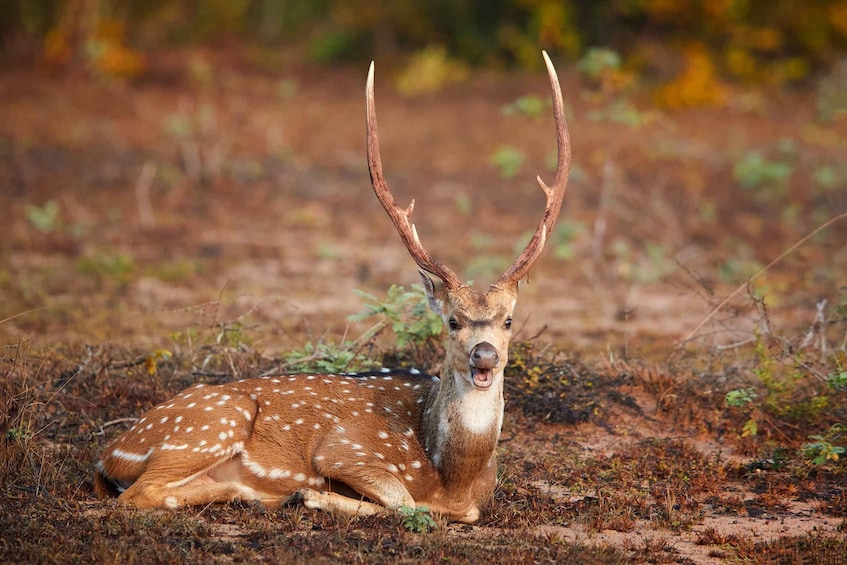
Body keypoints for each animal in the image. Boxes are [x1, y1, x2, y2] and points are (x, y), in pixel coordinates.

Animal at [94, 50, 571, 523]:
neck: (452, 479)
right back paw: (258, 493)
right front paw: (312, 495)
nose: (484, 355)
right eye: (452, 321)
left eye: (508, 320)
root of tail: (109, 454)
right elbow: (405, 501)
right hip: (211, 423)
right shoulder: (345, 449)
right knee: (138, 493)